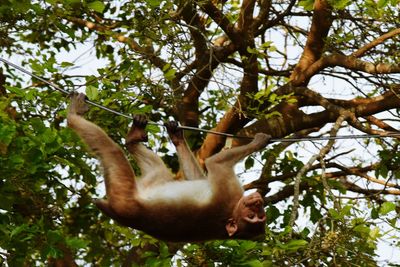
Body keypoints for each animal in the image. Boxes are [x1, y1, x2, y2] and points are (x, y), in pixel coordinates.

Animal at [67, 93, 270, 243]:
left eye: (255, 217)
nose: (257, 202)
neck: (232, 211)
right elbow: (201, 177)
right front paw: (176, 135)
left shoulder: (228, 191)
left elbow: (216, 163)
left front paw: (258, 142)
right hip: (149, 182)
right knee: (158, 169)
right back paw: (134, 137)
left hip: (124, 197)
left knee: (112, 151)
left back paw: (74, 116)